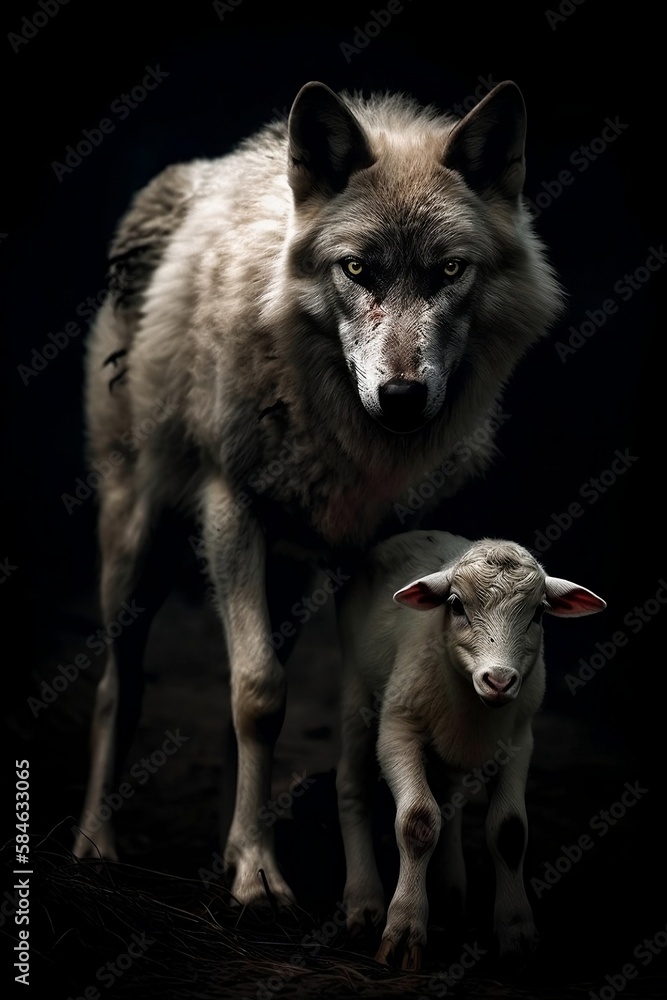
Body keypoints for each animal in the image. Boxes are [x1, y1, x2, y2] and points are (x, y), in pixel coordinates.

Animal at [73, 79, 564, 912]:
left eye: (449, 272)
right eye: (356, 269)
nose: (401, 396)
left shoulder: (397, 543)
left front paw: (440, 886)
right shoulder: (231, 508)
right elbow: (257, 694)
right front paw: (258, 877)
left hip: (289, 576)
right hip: (136, 543)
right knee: (117, 685)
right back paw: (97, 845)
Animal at [335, 529, 606, 971]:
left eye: (538, 614)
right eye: (456, 605)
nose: (499, 680)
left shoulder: (519, 740)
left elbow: (510, 830)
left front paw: (516, 931)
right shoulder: (398, 729)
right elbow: (417, 821)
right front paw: (404, 928)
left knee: (448, 796)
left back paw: (450, 896)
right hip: (357, 687)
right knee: (352, 785)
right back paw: (363, 902)